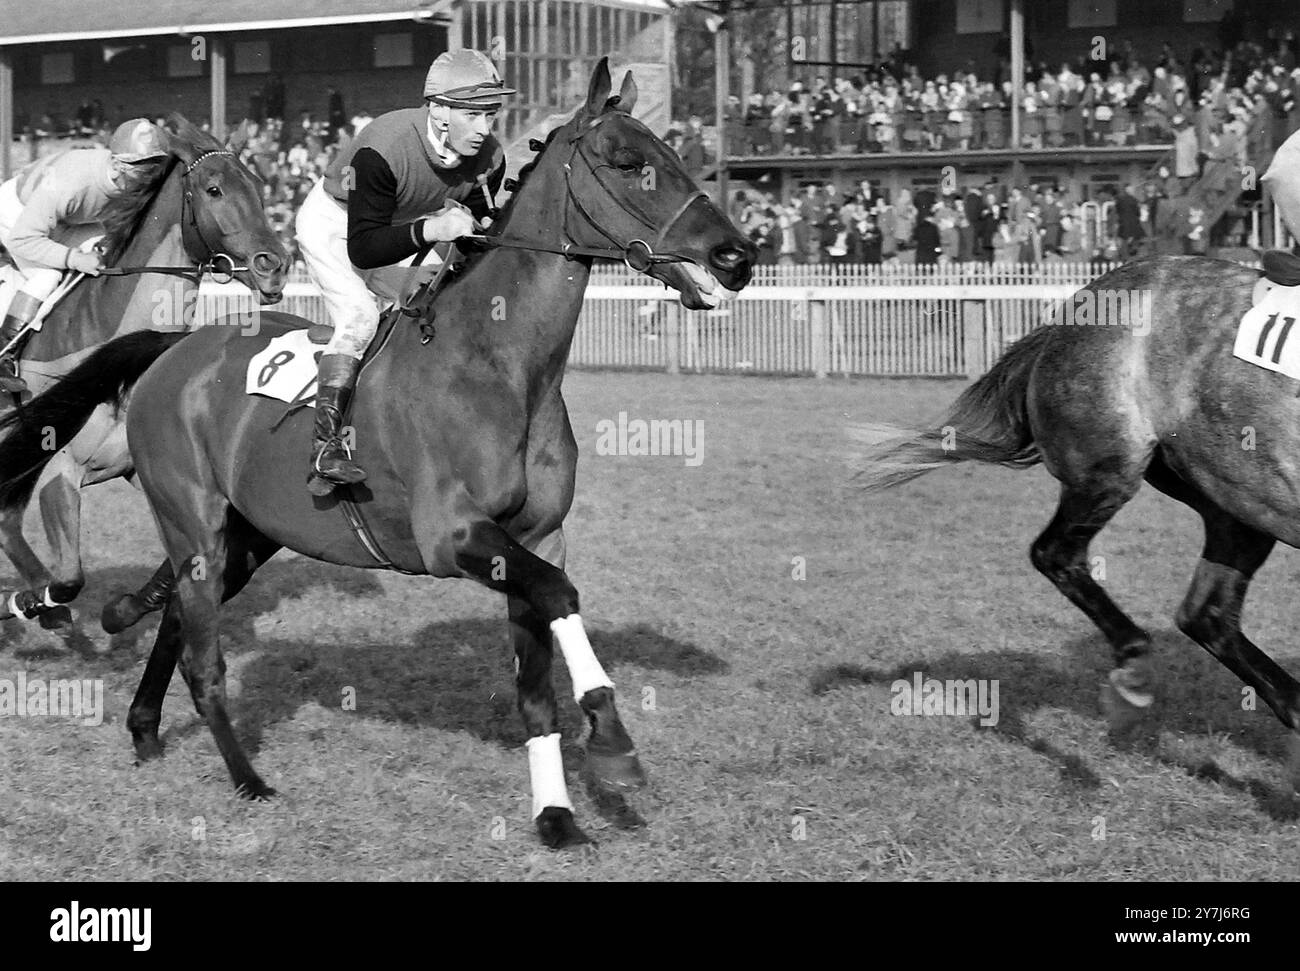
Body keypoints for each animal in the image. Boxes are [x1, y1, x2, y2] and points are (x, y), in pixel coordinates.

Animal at [0, 113, 284, 642]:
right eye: (213, 189)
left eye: (258, 185)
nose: (275, 265)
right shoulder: (57, 469)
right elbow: (68, 579)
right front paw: (31, 603)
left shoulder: (145, 469)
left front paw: (119, 610)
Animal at [857, 256, 1300, 779]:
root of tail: (1076, 305)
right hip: (1109, 470)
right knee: (1054, 554)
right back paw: (1132, 669)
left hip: (1242, 503)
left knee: (1205, 615)